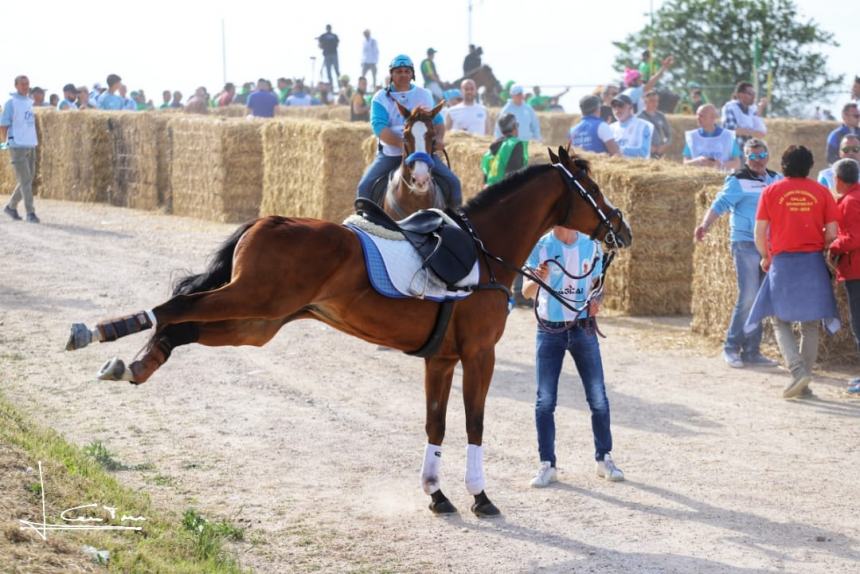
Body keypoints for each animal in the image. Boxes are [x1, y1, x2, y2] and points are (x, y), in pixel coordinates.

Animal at [65, 146, 632, 520]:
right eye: (593, 188)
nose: (622, 229)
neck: (483, 249)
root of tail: (266, 222)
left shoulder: (441, 359)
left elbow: (436, 426)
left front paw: (436, 493)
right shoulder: (477, 355)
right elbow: (473, 425)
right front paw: (479, 495)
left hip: (256, 322)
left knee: (182, 326)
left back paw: (133, 363)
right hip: (251, 301)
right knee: (174, 306)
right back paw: (97, 332)